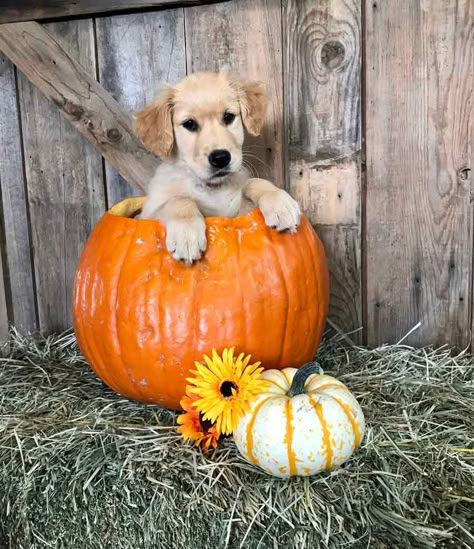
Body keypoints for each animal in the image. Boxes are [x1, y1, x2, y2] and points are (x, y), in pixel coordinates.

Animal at [135, 70, 302, 264]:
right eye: (189, 124)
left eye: (228, 117)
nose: (221, 158)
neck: (213, 188)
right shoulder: (147, 214)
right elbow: (179, 199)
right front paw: (186, 233)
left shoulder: (238, 213)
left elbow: (253, 182)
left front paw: (279, 202)